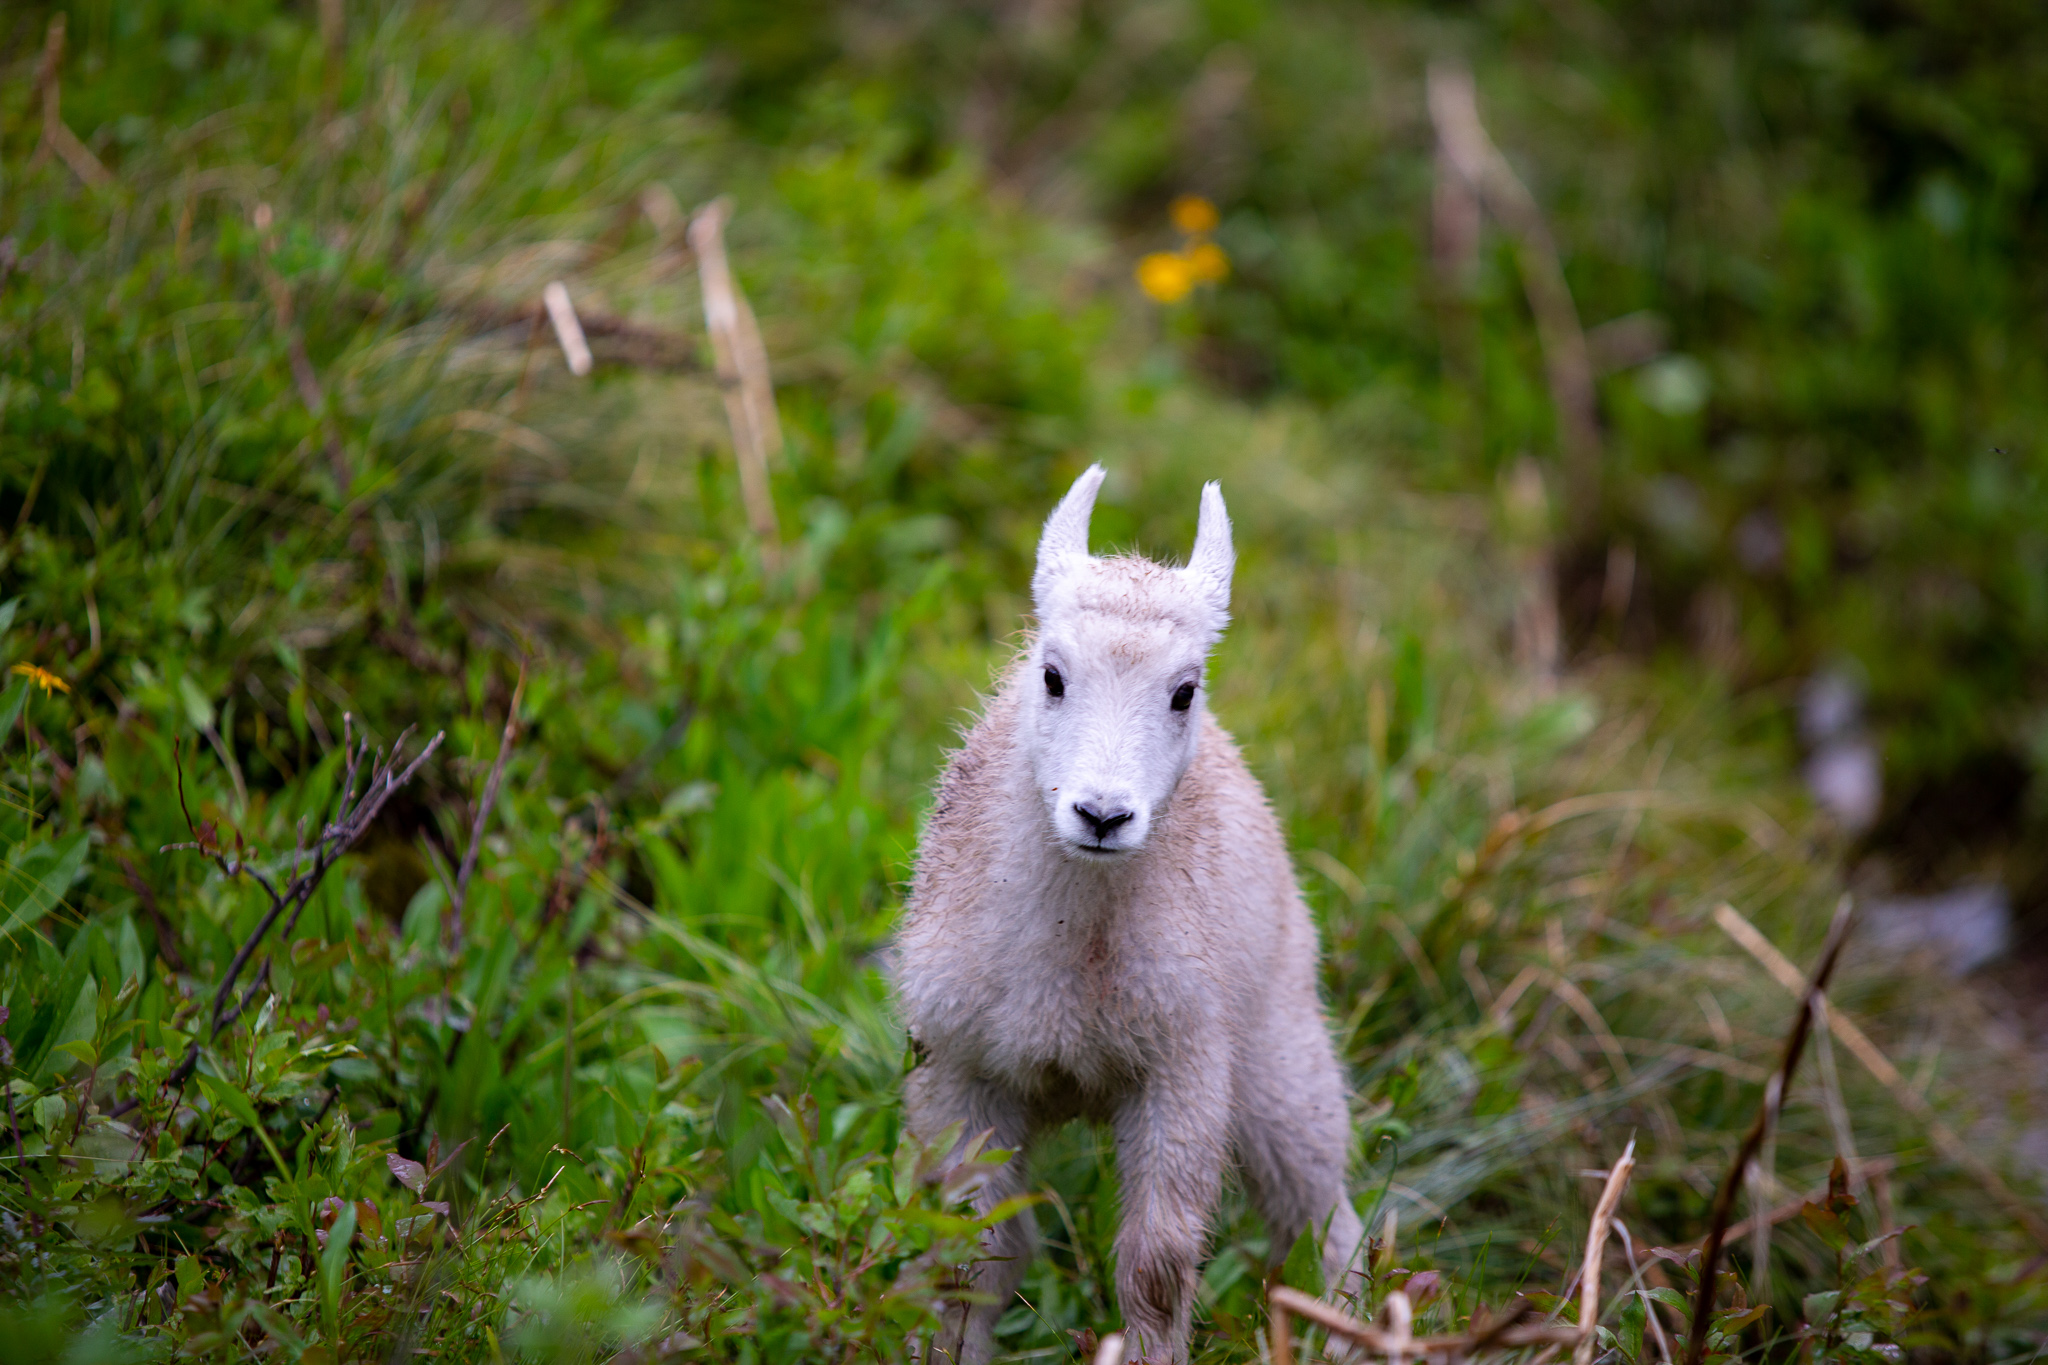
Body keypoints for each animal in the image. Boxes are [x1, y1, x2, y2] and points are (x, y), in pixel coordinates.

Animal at [905, 464, 1368, 1358]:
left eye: (1183, 690)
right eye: (1052, 675)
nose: (1102, 814)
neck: (1074, 938)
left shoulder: (1180, 1070)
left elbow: (1155, 1268)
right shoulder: (961, 1072)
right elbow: (969, 1258)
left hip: (1281, 1051)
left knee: (1325, 1218)